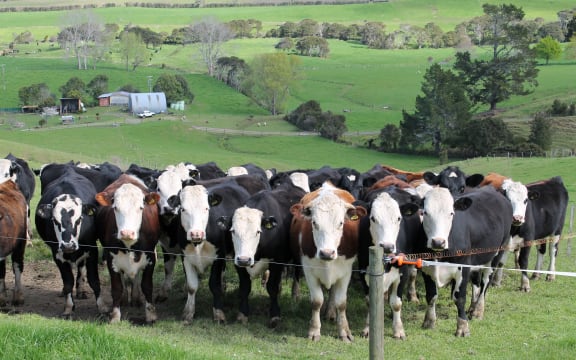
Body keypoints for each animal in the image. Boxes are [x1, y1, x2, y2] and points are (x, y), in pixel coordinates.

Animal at [35, 166, 103, 318]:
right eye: (55, 220)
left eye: (79, 220)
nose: (68, 245)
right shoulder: (57, 254)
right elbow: (67, 282)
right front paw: (68, 308)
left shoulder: (92, 250)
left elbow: (94, 280)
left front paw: (103, 309)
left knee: (81, 268)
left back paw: (81, 291)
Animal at [94, 174, 161, 324]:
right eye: (115, 207)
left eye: (141, 207)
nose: (127, 233)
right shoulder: (111, 259)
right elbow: (116, 288)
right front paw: (115, 315)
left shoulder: (150, 258)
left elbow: (147, 285)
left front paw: (151, 315)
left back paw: (136, 297)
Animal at [290, 181, 366, 342]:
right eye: (314, 223)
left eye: (341, 223)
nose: (327, 253)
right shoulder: (308, 269)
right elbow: (317, 301)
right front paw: (314, 330)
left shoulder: (346, 271)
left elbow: (341, 303)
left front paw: (344, 331)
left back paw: (331, 313)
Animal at [418, 186, 512, 338]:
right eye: (425, 212)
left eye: (451, 213)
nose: (438, 241)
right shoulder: (427, 268)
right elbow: (431, 296)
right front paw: (429, 321)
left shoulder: (463, 267)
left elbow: (459, 298)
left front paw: (462, 327)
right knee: (476, 282)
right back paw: (472, 307)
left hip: (497, 252)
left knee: (486, 282)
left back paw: (478, 310)